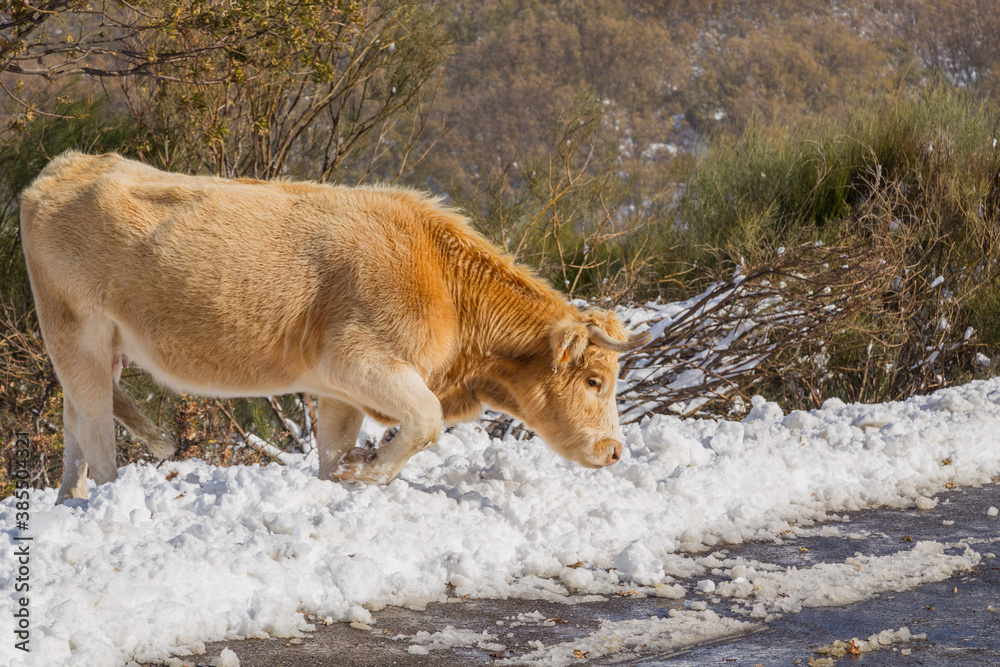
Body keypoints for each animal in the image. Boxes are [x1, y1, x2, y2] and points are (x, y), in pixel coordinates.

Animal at [20, 152, 649, 504]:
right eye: (594, 380)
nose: (616, 451)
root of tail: (67, 165)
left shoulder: (338, 388)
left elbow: (332, 448)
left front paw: (343, 478)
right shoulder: (361, 360)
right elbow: (428, 419)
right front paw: (369, 475)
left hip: (99, 349)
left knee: (74, 421)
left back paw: (69, 499)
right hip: (75, 333)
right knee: (96, 429)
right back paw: (102, 498)